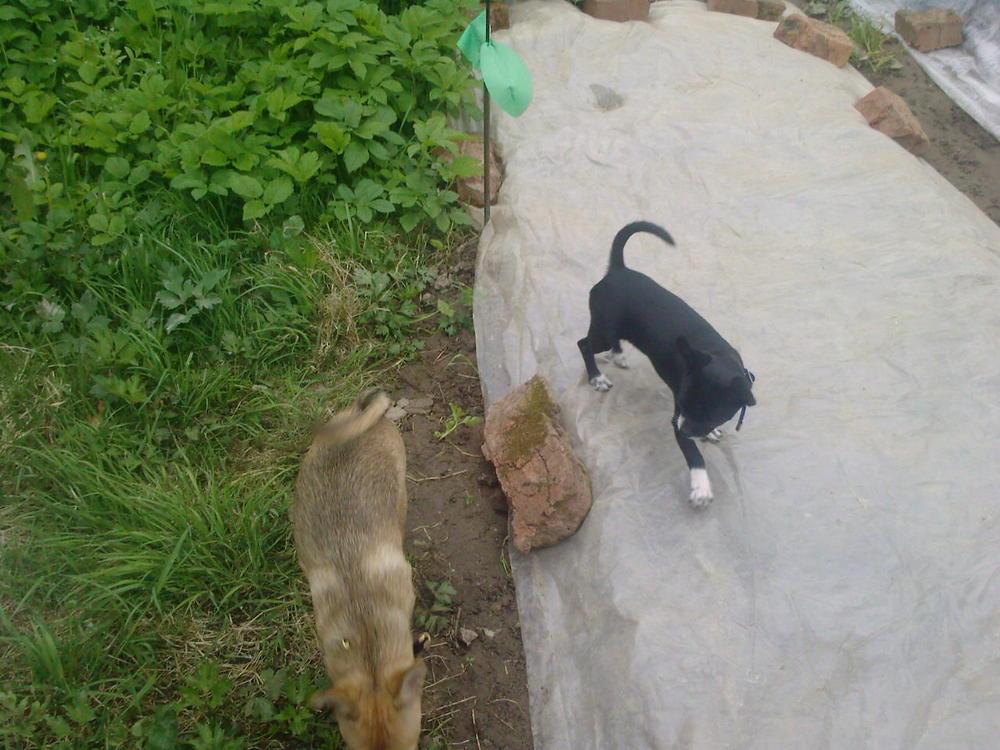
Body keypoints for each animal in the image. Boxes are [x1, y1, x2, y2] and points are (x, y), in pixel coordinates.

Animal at [578, 221, 756, 507]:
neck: (717, 355)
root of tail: (618, 269)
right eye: (682, 403)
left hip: (615, 327)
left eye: (711, 415)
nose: (683, 429)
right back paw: (597, 377)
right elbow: (694, 455)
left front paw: (709, 434)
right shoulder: (677, 418)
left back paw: (618, 354)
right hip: (603, 331)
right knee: (584, 344)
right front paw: (701, 486)